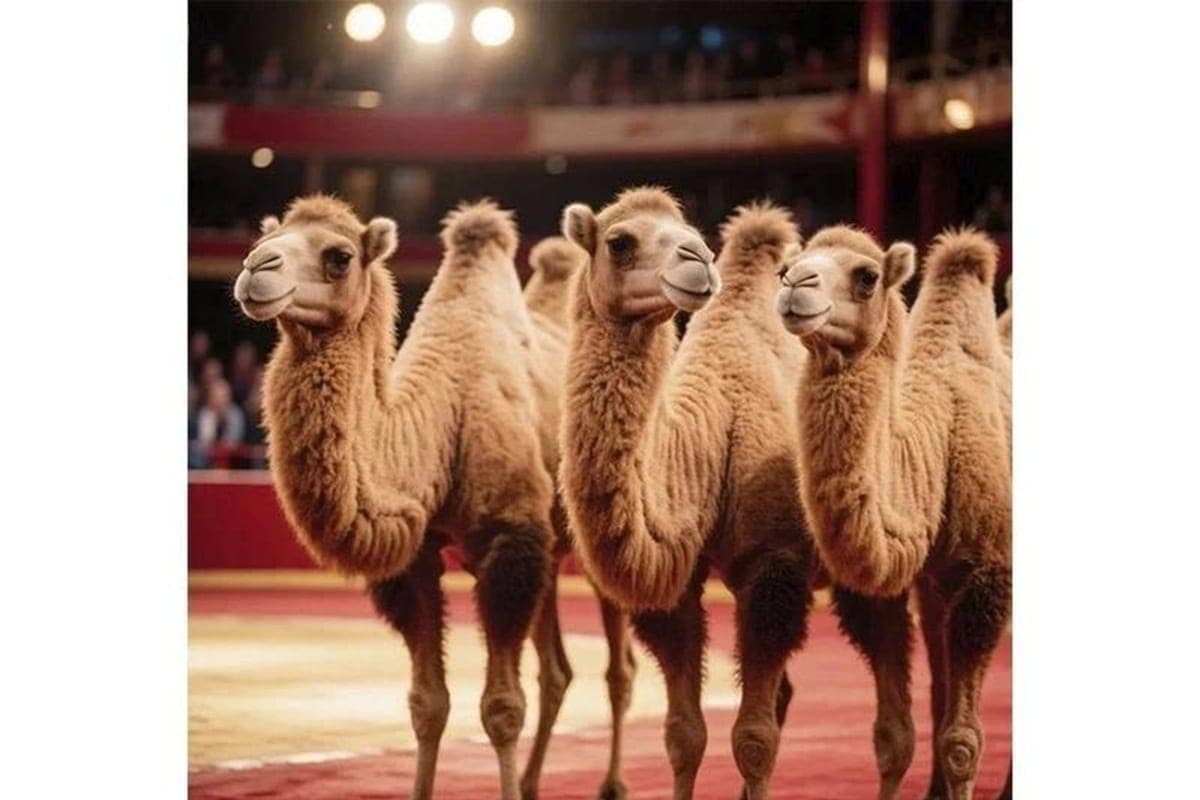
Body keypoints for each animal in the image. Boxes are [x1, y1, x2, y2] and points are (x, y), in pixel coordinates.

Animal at [231, 195, 634, 800]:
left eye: (339, 256)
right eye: (263, 239)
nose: (257, 268)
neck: (441, 424)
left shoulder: (509, 537)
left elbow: (501, 708)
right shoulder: (419, 557)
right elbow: (428, 704)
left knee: (619, 668)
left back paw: (612, 782)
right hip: (550, 549)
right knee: (558, 670)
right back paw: (535, 780)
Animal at [560, 188, 823, 800]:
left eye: (694, 235)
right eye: (619, 241)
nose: (698, 260)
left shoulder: (775, 564)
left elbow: (754, 737)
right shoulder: (678, 582)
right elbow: (684, 732)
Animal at [776, 225, 1011, 800]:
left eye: (867, 276)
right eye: (787, 265)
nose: (795, 284)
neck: (935, 447)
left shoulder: (988, 571)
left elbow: (963, 742)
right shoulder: (880, 593)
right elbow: (892, 735)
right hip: (934, 586)